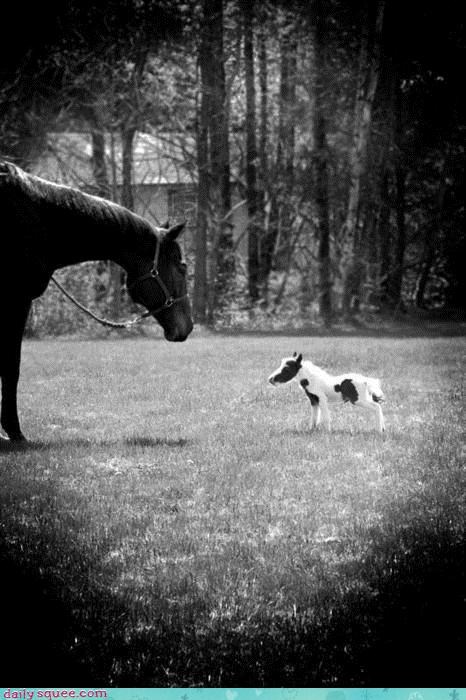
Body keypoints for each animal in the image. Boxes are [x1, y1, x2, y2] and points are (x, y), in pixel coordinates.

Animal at [0, 161, 193, 442]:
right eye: (182, 267)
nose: (188, 325)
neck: (37, 218)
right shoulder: (16, 300)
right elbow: (10, 366)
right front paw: (14, 432)